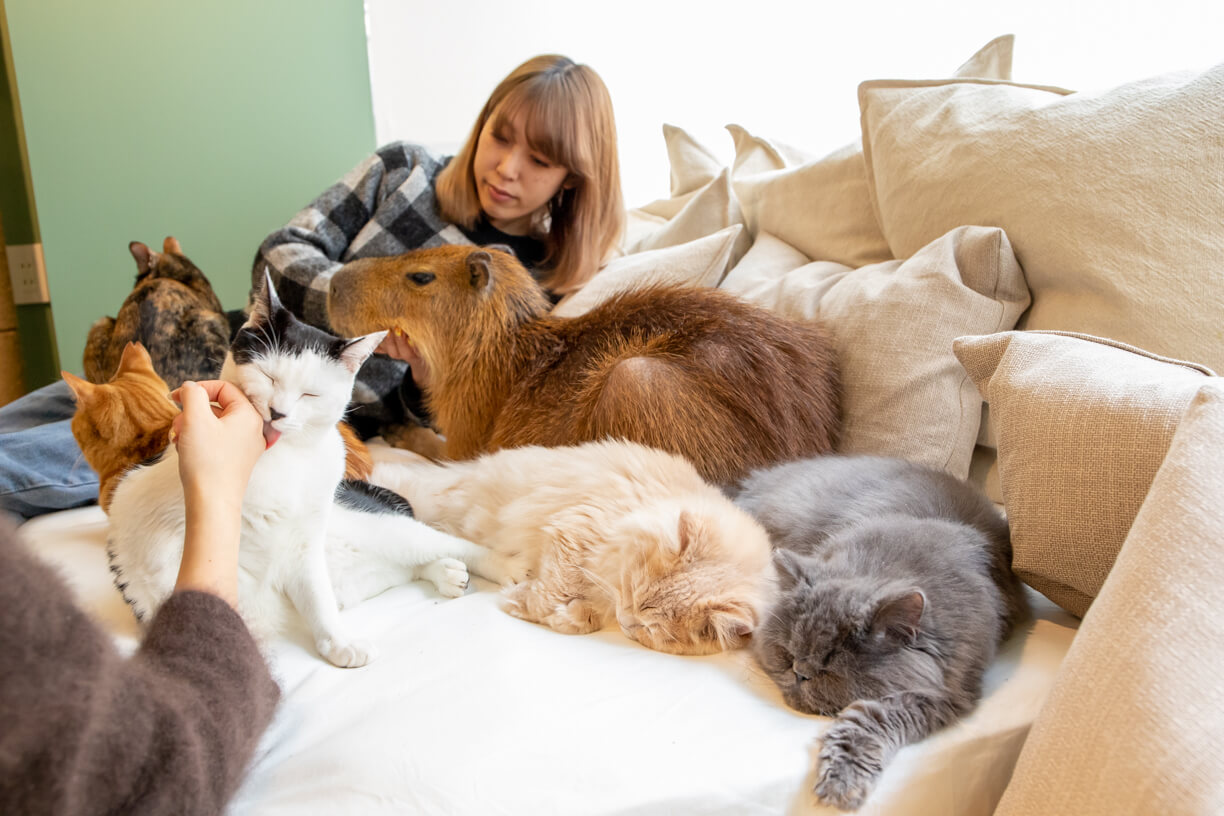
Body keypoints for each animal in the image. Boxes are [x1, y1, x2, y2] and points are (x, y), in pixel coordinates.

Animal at [729, 457, 1028, 812]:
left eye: (829, 668)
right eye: (789, 654)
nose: (800, 673)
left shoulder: (942, 693)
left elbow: (868, 719)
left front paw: (841, 782)